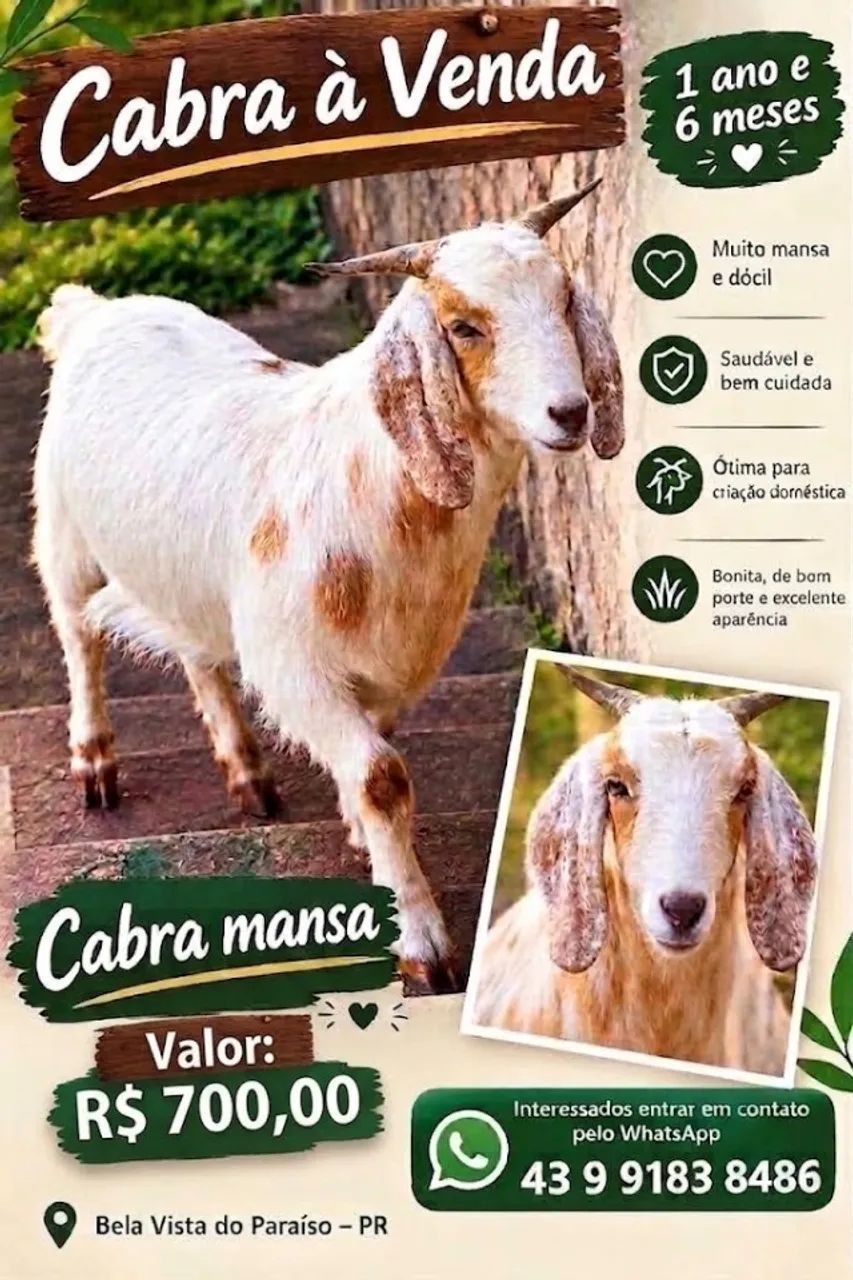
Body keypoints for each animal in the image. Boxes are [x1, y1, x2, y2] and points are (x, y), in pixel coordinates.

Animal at [32, 180, 623, 995]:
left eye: (564, 297)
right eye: (464, 326)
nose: (569, 412)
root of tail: (90, 310)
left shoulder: (389, 662)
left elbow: (374, 754)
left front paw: (356, 831)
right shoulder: (293, 662)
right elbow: (382, 776)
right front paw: (421, 943)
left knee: (198, 655)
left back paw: (247, 774)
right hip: (63, 533)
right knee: (78, 635)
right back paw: (95, 763)